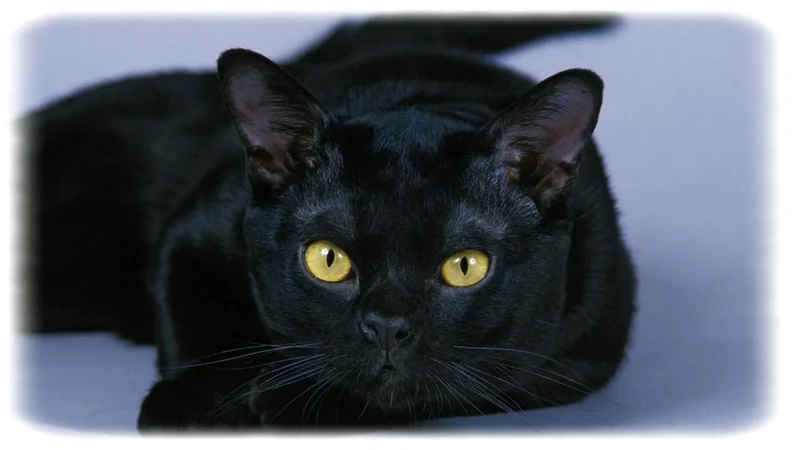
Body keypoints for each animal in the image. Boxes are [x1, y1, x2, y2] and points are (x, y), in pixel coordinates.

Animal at [25, 15, 637, 430]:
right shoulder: (192, 230)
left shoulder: (577, 358)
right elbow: (195, 327)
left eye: (465, 267)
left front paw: (281, 400)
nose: (387, 326)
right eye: (328, 259)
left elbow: (442, 389)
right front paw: (195, 405)